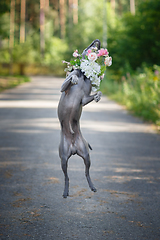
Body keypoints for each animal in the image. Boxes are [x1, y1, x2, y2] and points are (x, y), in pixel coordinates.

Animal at [58, 39, 102, 198]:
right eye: (88, 46)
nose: (96, 41)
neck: (84, 74)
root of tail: (73, 148)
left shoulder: (84, 99)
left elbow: (97, 93)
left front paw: (98, 96)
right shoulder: (63, 88)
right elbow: (71, 78)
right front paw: (74, 77)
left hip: (86, 155)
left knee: (86, 173)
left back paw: (92, 186)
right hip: (63, 158)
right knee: (66, 177)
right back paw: (65, 191)